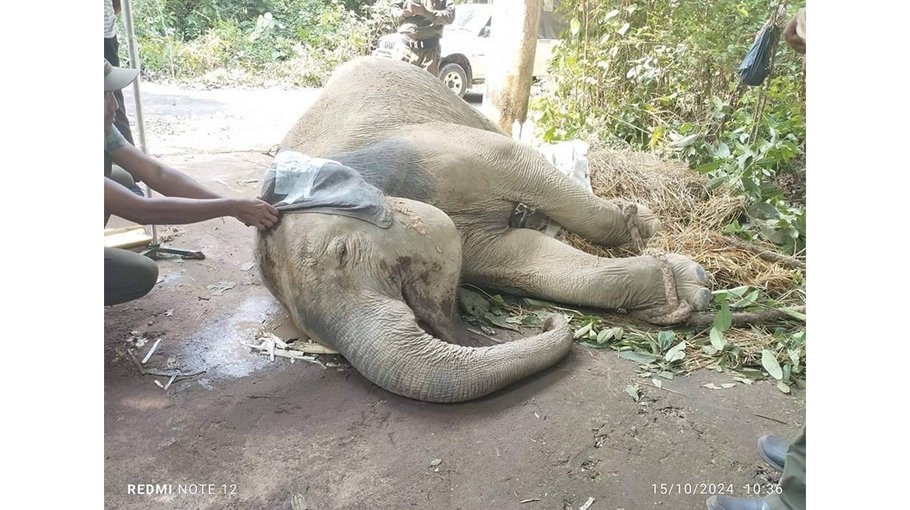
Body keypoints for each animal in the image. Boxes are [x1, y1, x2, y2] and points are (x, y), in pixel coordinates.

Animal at [256, 57, 712, 403]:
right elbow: (520, 259)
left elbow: (517, 163)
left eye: (343, 252)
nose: (547, 323)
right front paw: (690, 288)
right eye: (312, 334)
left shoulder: (429, 151)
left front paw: (647, 229)